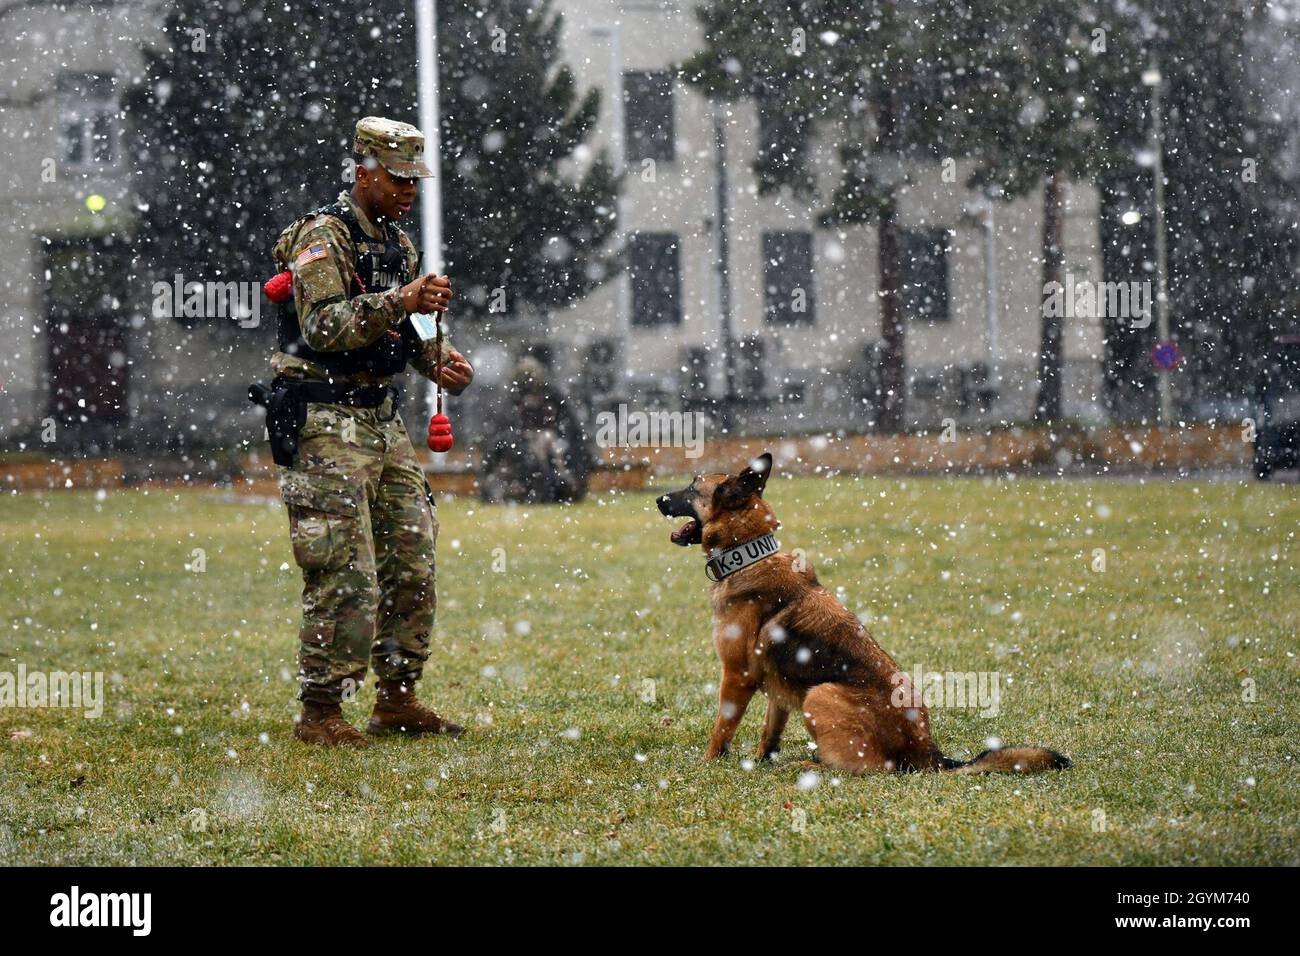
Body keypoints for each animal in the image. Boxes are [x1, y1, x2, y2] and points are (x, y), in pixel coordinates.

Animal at [655, 452, 1071, 775]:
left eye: (692, 487)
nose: (658, 498)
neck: (750, 554)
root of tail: (929, 754)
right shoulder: (776, 686)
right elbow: (768, 732)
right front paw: (759, 762)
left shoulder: (736, 676)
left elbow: (721, 729)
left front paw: (708, 764)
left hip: (820, 695)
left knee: (868, 768)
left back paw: (810, 766)